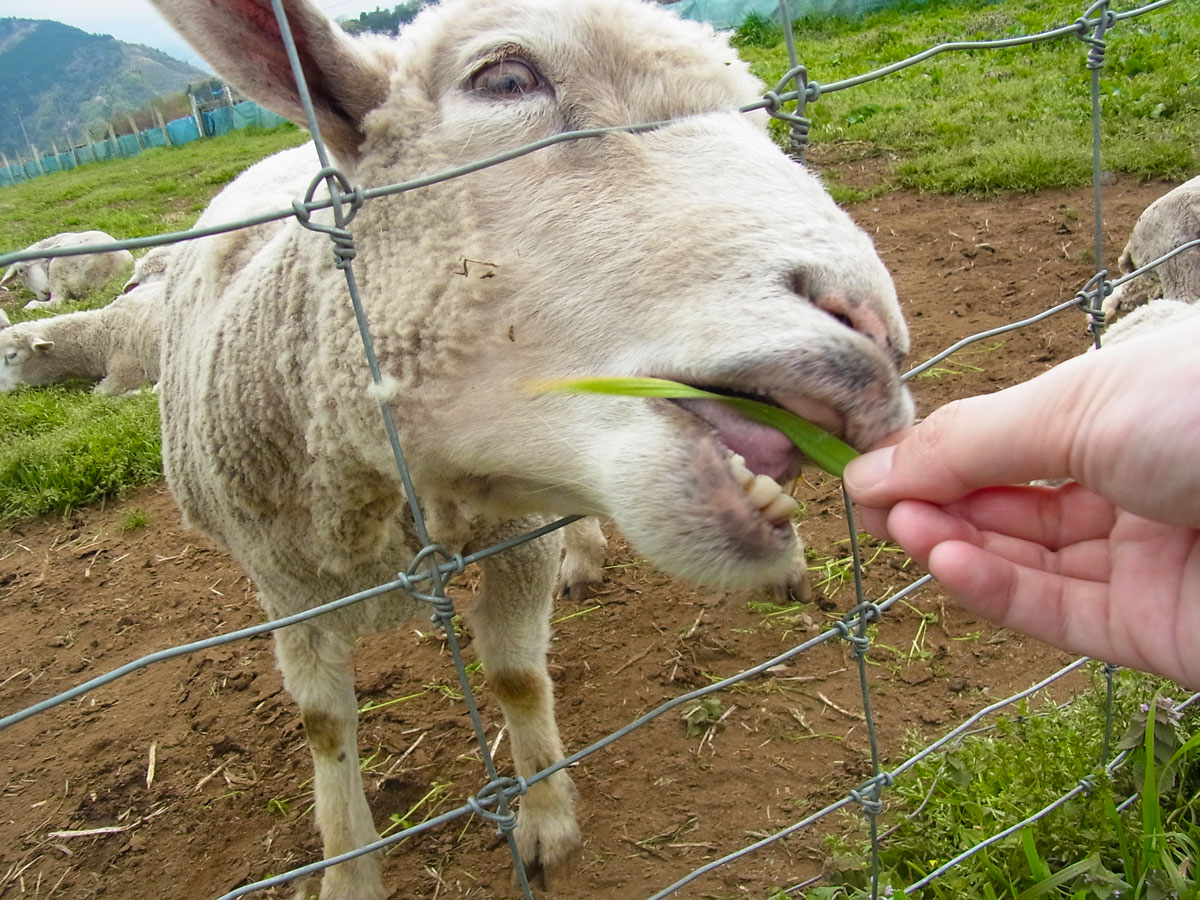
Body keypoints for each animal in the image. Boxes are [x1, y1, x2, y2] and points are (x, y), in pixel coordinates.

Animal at [145, 3, 912, 897]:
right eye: (506, 78)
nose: (873, 331)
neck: (397, 507)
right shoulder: (286, 585)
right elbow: (323, 726)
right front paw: (349, 869)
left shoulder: (514, 539)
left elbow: (515, 673)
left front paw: (544, 818)